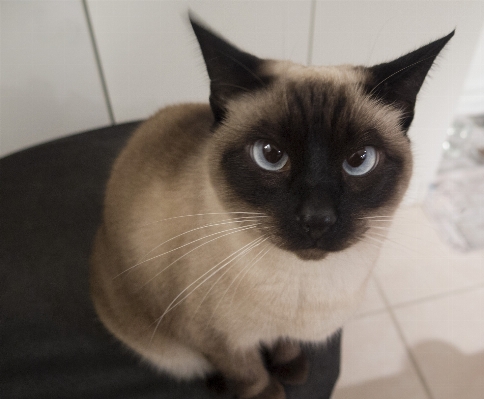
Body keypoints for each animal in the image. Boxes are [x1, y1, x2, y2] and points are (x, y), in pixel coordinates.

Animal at [88, 14, 454, 399]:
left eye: (359, 160)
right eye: (270, 155)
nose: (316, 219)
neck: (304, 288)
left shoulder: (284, 331)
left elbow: (286, 344)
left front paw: (292, 369)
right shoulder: (218, 341)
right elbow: (249, 373)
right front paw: (271, 392)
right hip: (167, 347)